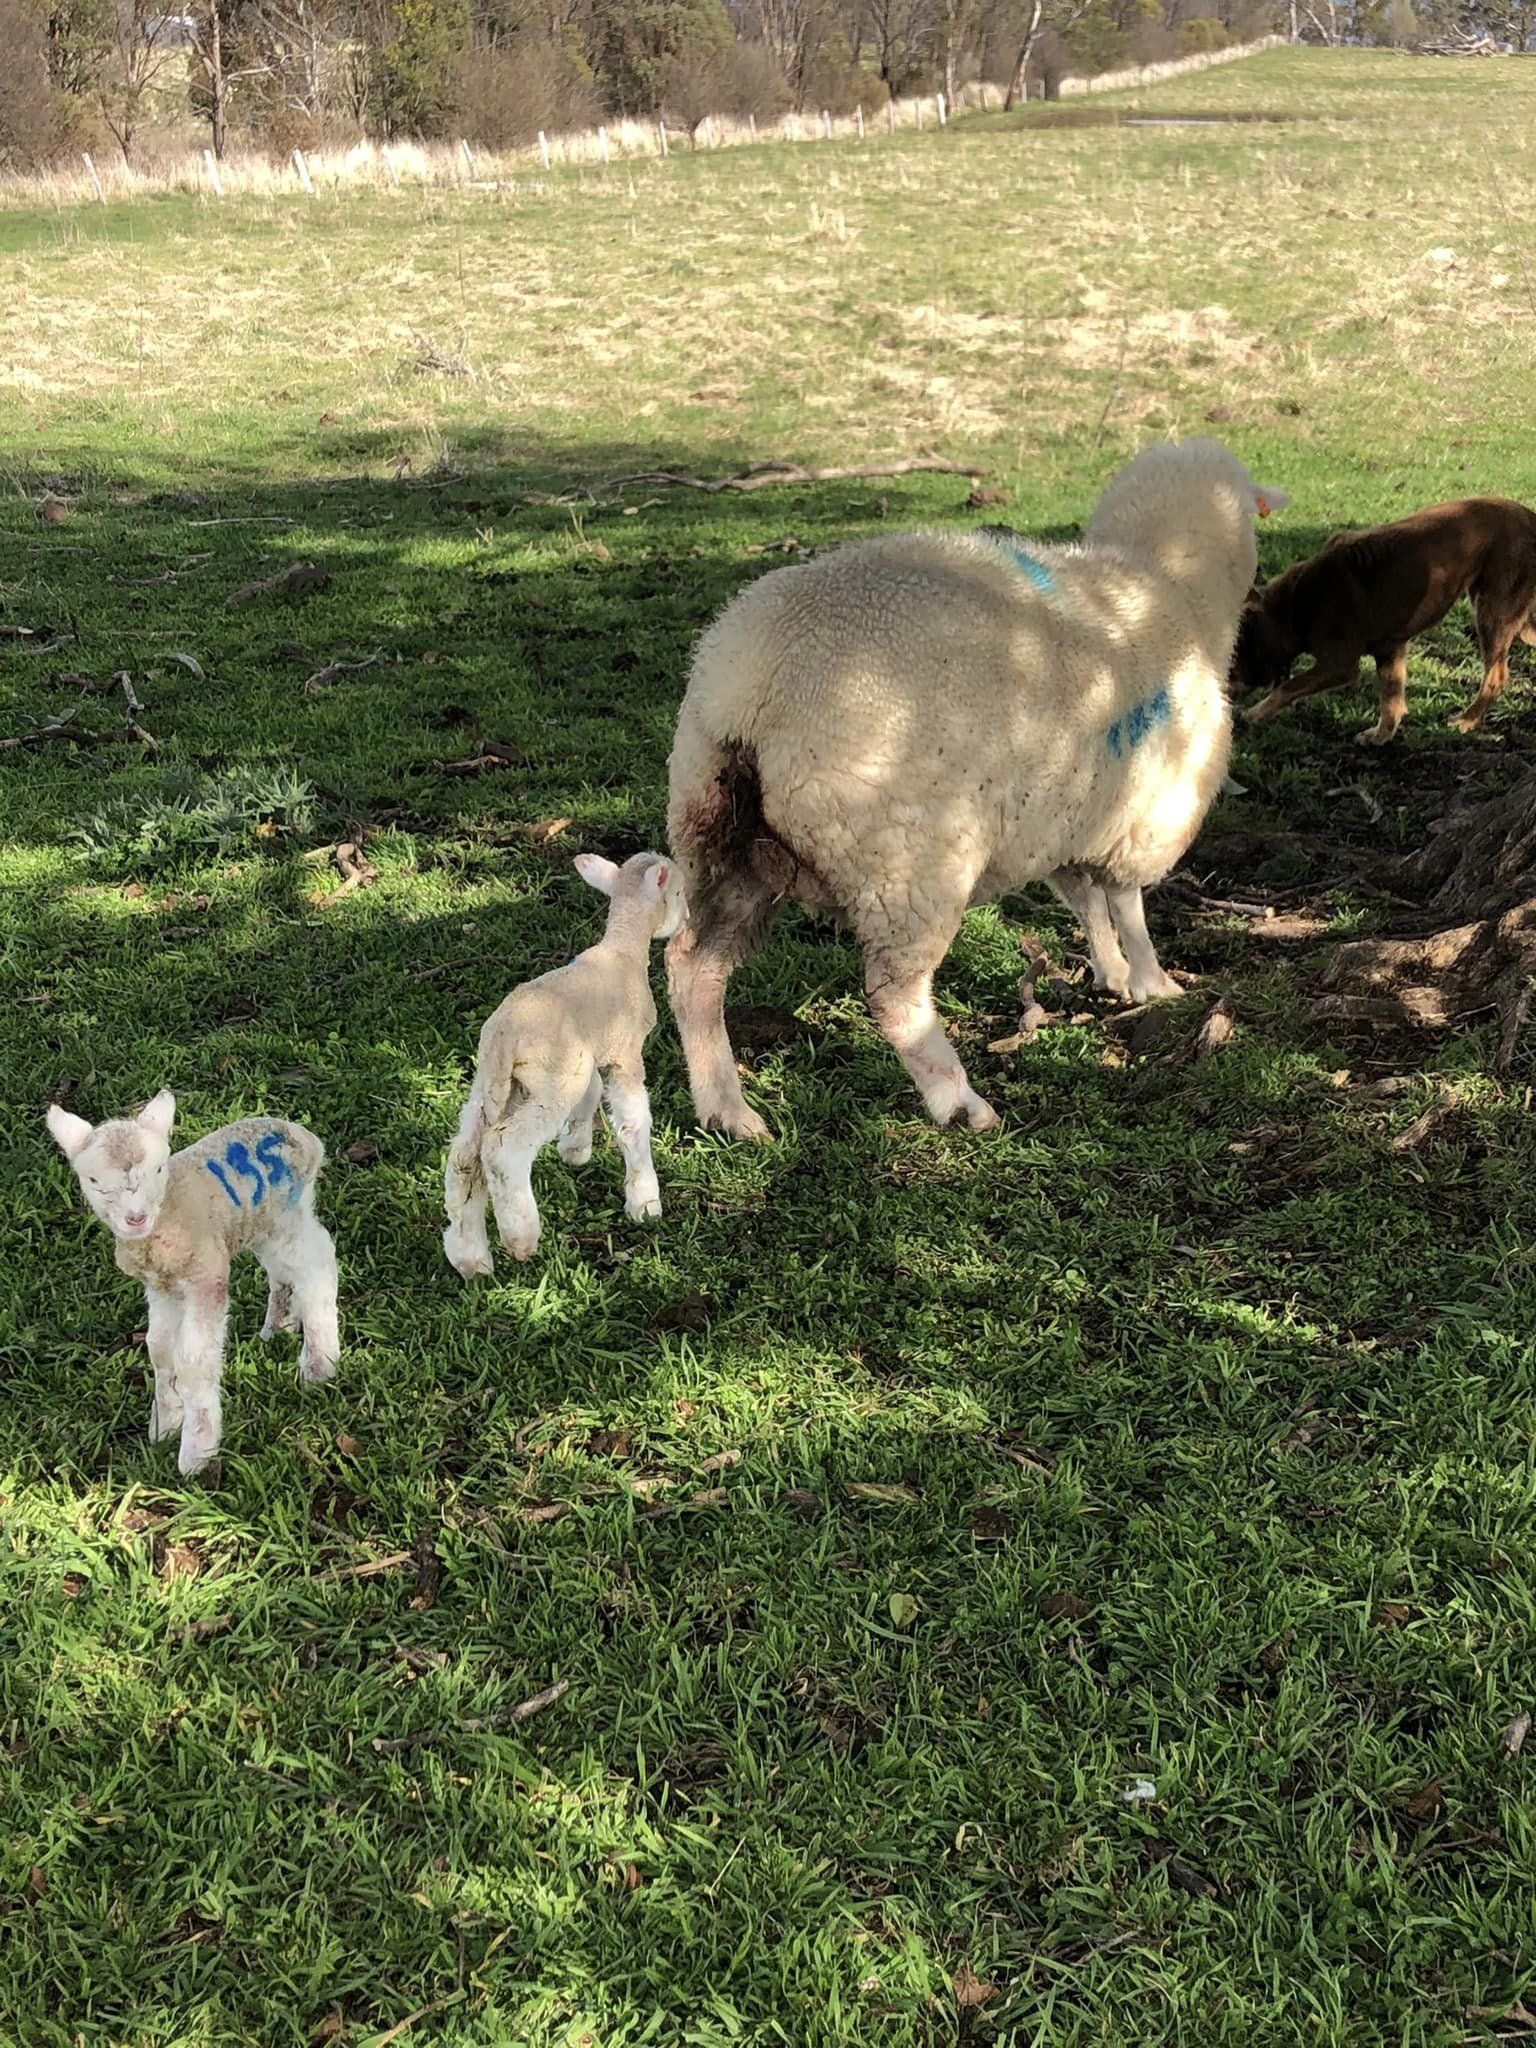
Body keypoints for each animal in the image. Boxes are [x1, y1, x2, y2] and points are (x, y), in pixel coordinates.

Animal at [46, 1092, 339, 1475]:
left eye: (158, 1169)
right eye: (94, 1180)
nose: (136, 1218)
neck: (167, 1212)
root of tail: (304, 1137)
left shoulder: (205, 1277)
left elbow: (193, 1359)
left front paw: (196, 1452)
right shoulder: (161, 1286)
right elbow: (158, 1348)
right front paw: (163, 1427)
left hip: (284, 1214)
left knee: (317, 1262)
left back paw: (319, 1363)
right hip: (262, 1223)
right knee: (285, 1270)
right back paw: (278, 1326)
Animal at [443, 851, 687, 1275]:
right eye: (677, 892)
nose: (687, 919)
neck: (622, 950)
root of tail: (503, 1038)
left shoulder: (587, 1055)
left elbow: (590, 1095)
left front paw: (575, 1150)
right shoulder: (624, 1054)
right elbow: (633, 1122)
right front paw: (644, 1201)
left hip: (493, 1086)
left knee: (464, 1157)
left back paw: (470, 1258)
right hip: (550, 1082)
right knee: (502, 1149)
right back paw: (521, 1238)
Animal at [665, 438, 1288, 1137]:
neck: (1169, 584)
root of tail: (751, 688)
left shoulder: (1068, 821)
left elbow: (1086, 903)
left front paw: (1109, 971)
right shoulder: (1146, 813)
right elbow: (1128, 905)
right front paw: (1151, 982)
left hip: (722, 839)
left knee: (692, 969)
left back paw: (727, 1109)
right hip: (903, 863)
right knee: (894, 996)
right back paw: (959, 1100)